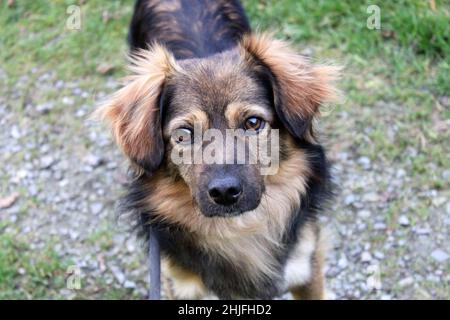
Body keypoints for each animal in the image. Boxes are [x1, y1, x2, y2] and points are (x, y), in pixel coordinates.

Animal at [96, 0, 340, 300]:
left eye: (253, 123)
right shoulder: (178, 283)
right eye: (184, 134)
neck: (239, 229)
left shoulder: (307, 265)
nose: (225, 192)